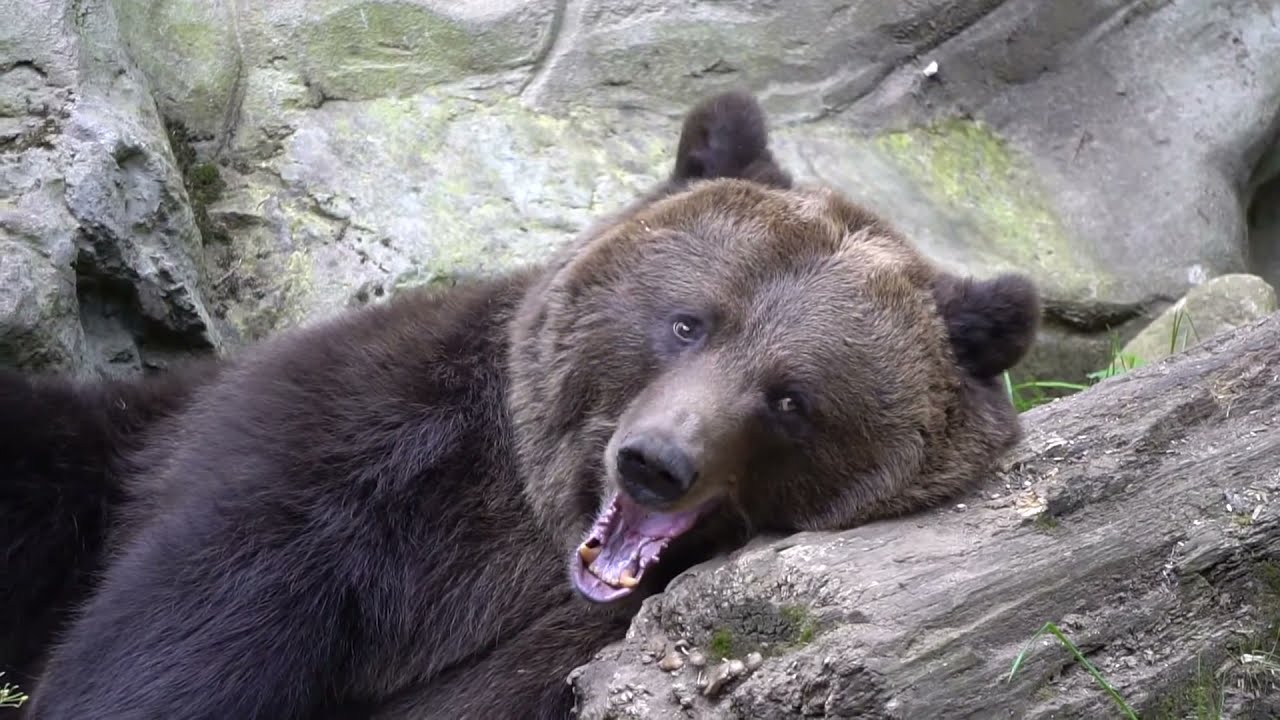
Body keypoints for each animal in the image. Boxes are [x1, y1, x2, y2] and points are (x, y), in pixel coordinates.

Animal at [0, 90, 1040, 720]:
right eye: (688, 322)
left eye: (790, 397)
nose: (656, 462)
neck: (528, 532)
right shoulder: (346, 454)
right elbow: (183, 631)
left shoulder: (568, 643)